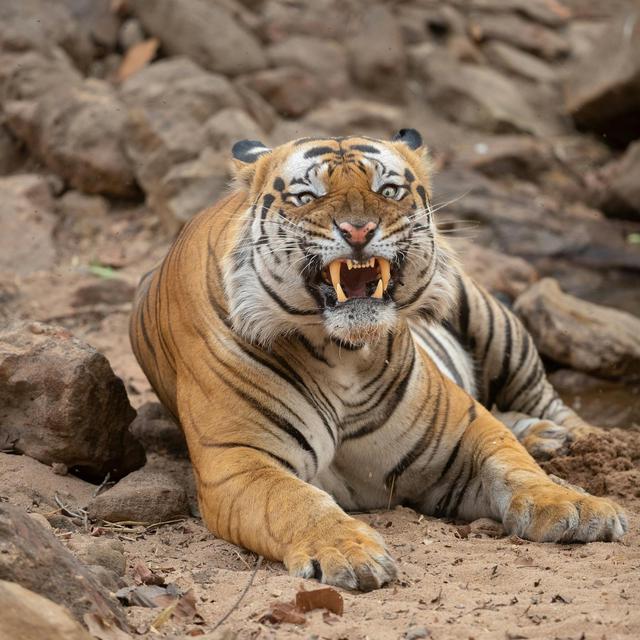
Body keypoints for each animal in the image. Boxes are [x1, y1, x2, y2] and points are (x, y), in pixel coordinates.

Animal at [130, 129, 627, 592]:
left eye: (388, 190)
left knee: (546, 399)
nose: (358, 231)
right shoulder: (237, 459)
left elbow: (515, 466)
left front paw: (576, 505)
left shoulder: (465, 427)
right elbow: (292, 500)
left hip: (492, 321)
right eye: (308, 196)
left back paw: (587, 441)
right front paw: (348, 551)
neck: (343, 354)